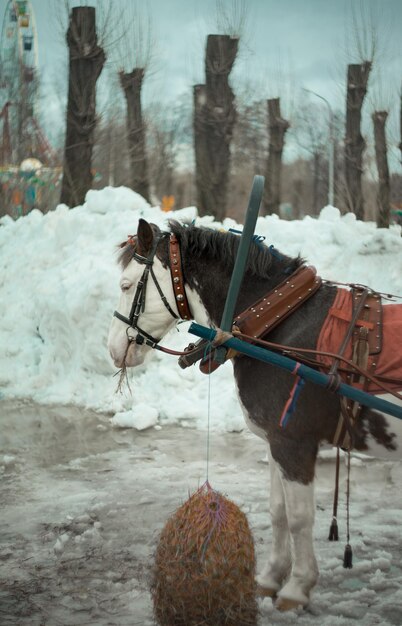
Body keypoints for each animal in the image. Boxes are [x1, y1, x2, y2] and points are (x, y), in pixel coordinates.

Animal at [107, 217, 402, 608]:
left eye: (126, 285)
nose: (113, 348)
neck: (275, 322)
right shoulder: (275, 442)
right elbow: (278, 512)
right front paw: (271, 577)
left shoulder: (293, 443)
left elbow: (299, 518)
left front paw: (297, 587)